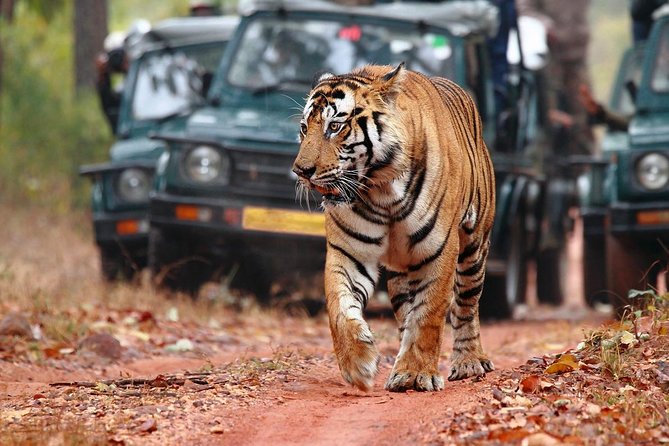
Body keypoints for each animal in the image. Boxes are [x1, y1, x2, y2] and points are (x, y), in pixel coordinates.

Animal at [292, 63, 495, 392]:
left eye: (334, 127)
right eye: (303, 128)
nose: (300, 171)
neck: (380, 189)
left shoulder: (439, 250)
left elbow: (429, 314)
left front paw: (417, 373)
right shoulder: (348, 252)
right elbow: (339, 307)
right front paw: (358, 365)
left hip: (474, 248)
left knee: (466, 305)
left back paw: (469, 362)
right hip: (402, 271)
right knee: (406, 313)